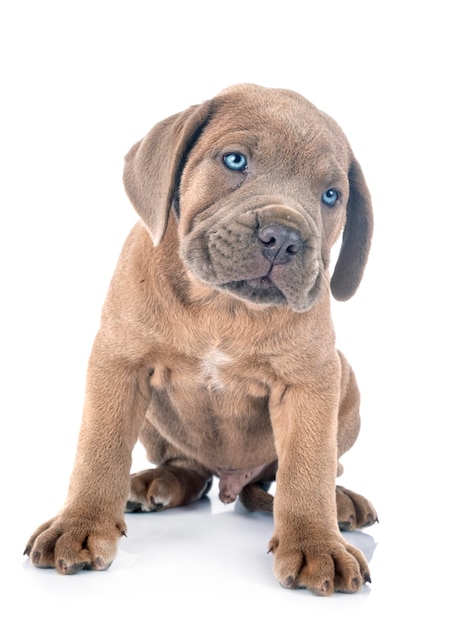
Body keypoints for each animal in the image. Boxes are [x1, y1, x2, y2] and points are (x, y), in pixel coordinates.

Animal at [25, 84, 376, 596]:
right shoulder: (119, 362)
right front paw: (80, 525)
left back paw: (342, 501)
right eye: (234, 160)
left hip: (345, 381)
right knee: (189, 468)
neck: (221, 305)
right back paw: (156, 483)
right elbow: (99, 449)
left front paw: (316, 543)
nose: (284, 237)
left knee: (319, 469)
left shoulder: (311, 381)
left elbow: (307, 467)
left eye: (331, 196)